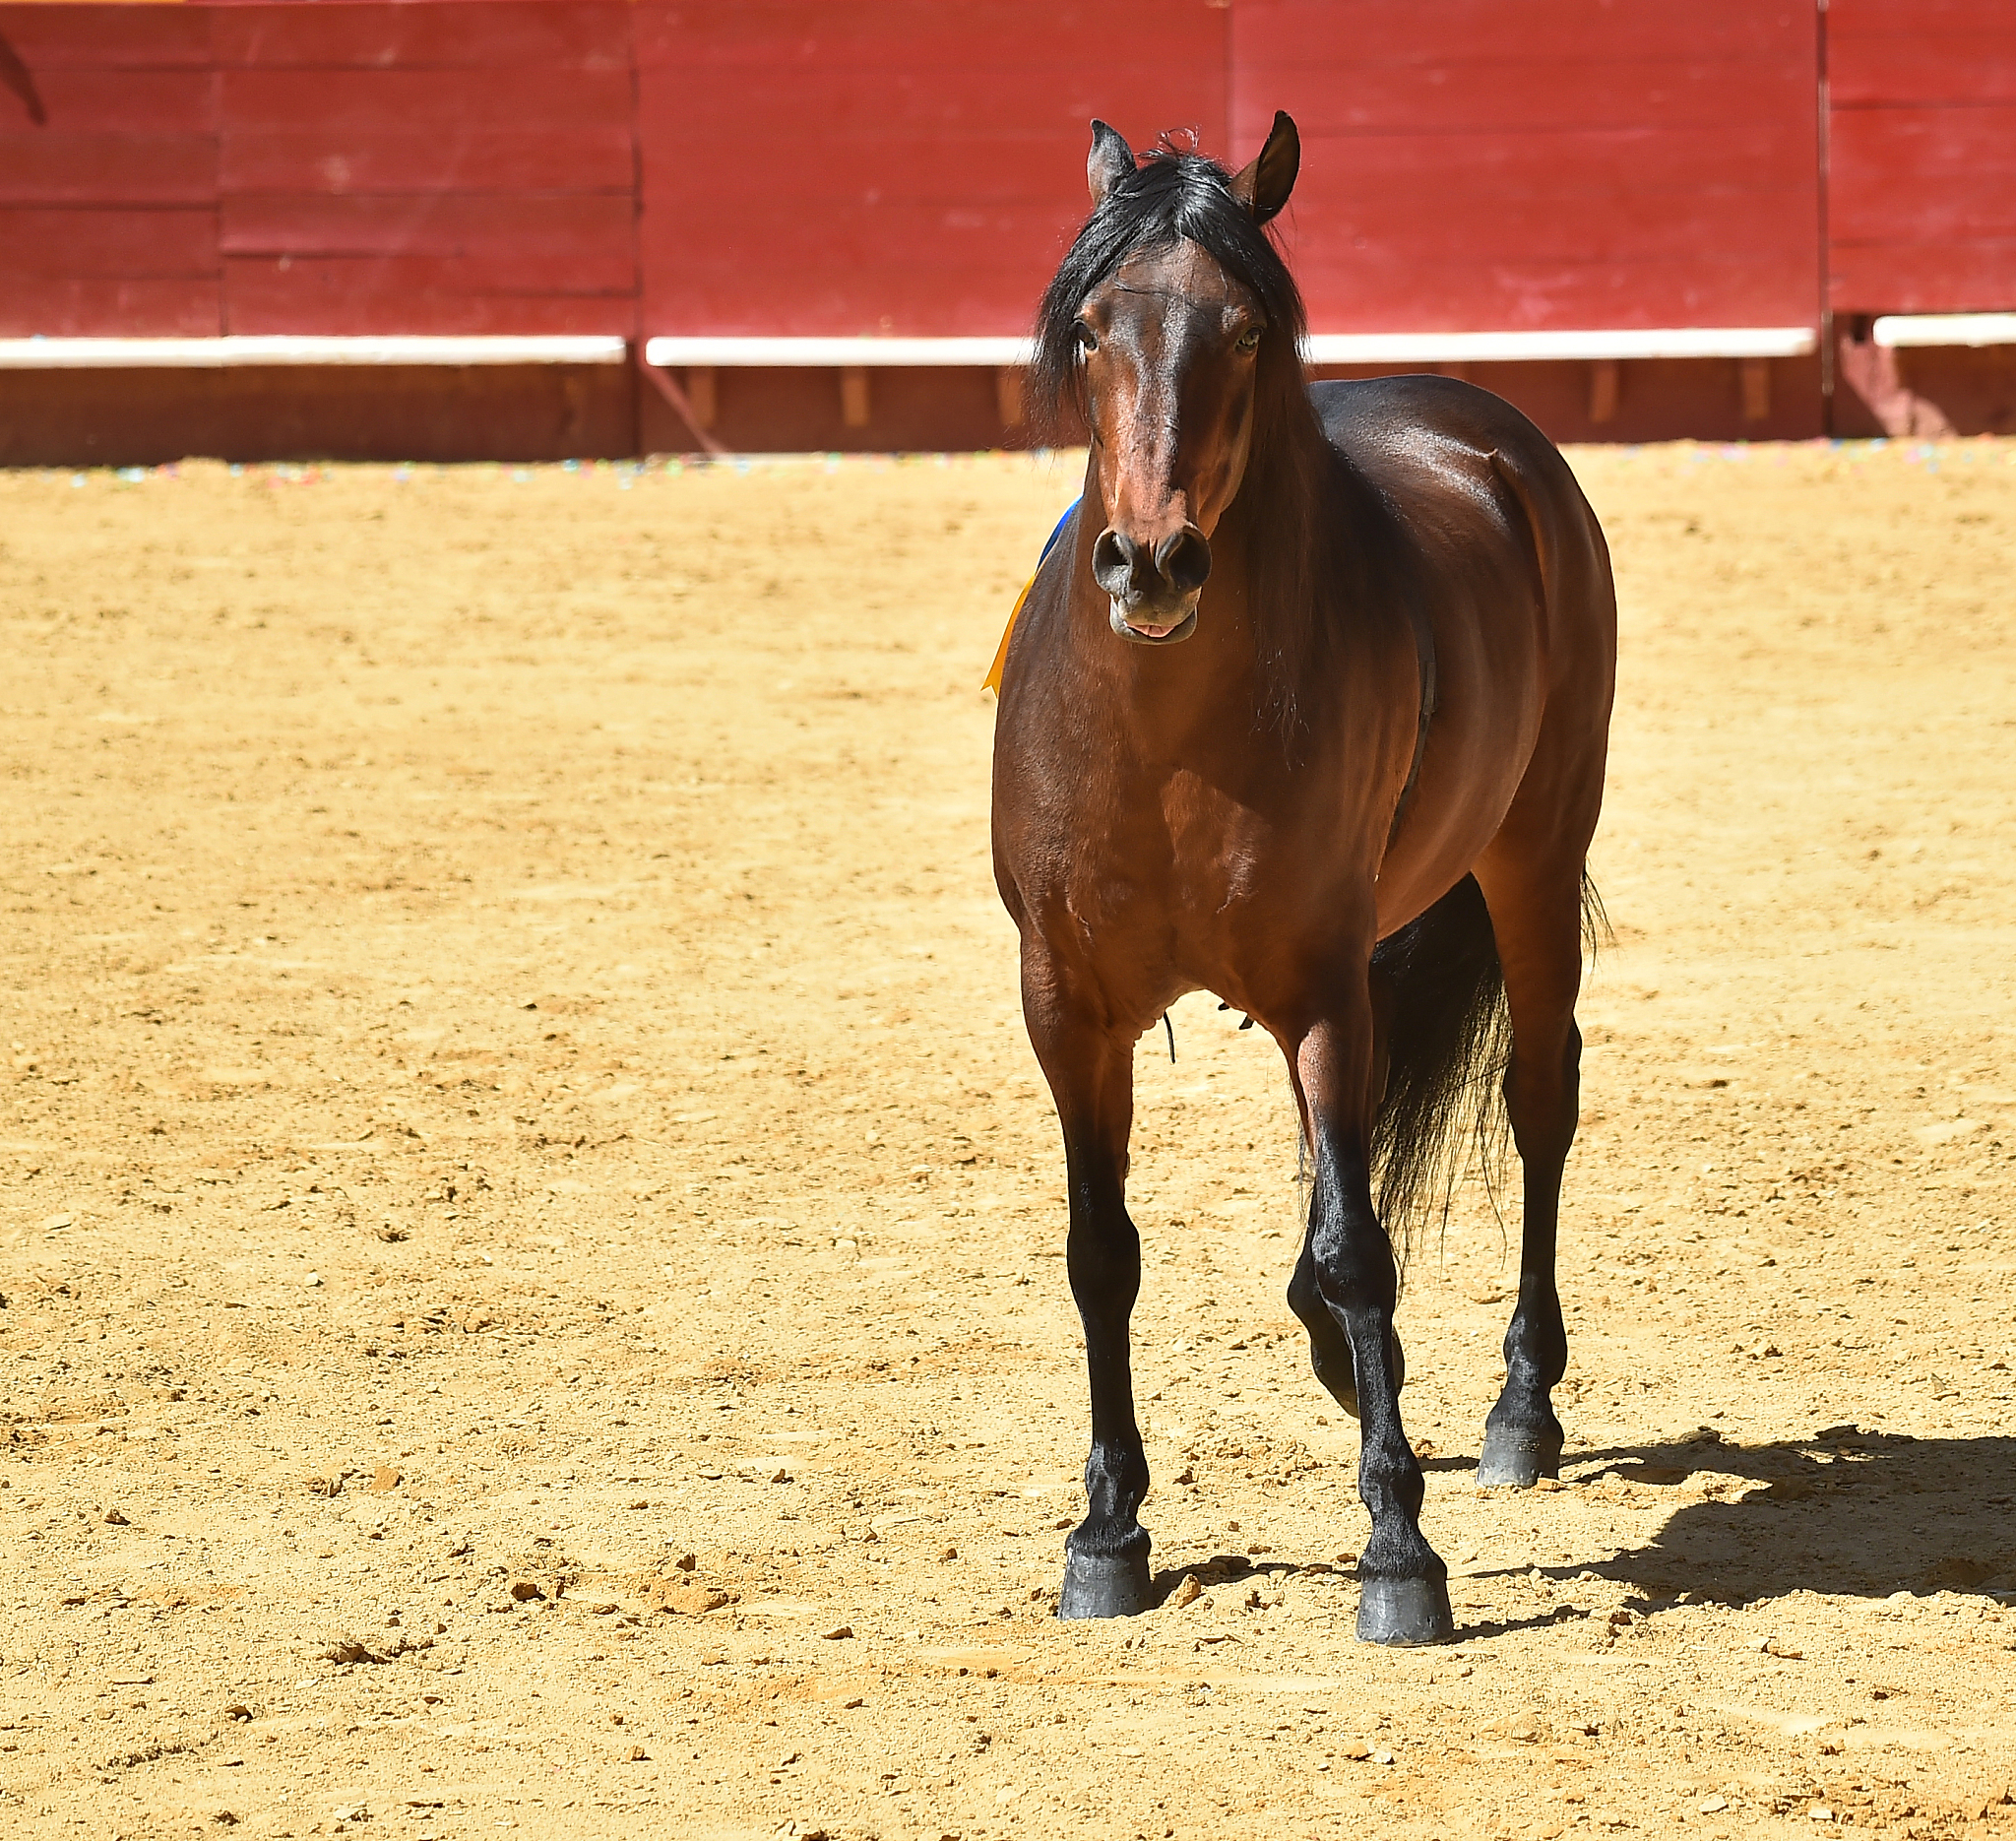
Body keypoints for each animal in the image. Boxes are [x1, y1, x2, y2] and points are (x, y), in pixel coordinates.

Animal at [988, 113, 1616, 1645]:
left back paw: (1520, 1407)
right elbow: (1102, 1250)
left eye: (1246, 329)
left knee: (1537, 1101)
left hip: (1530, 859)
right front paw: (1107, 1532)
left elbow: (1360, 1245)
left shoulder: (1329, 987)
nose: (1151, 561)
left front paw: (1398, 1551)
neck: (1163, 738)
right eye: (1090, 327)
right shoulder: (1067, 1009)